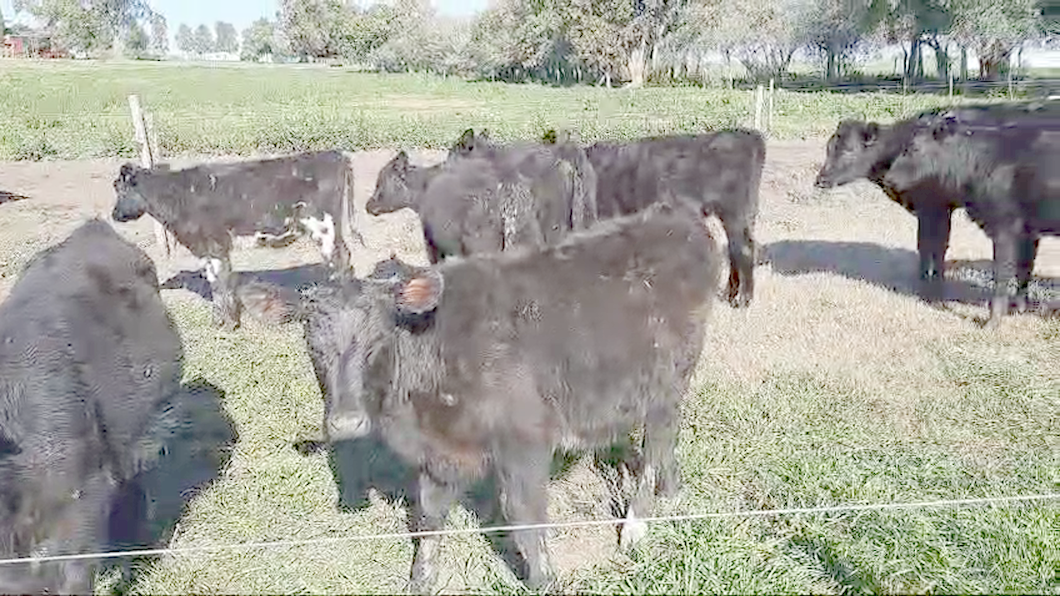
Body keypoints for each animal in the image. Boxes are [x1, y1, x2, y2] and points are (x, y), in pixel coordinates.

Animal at [112, 149, 360, 328]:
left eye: (120, 189)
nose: (114, 215)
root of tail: (334, 154)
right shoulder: (206, 250)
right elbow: (216, 283)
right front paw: (219, 322)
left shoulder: (215, 246)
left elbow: (220, 283)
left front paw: (229, 324)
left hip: (323, 226)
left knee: (340, 261)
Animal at [240, 201, 720, 589]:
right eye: (310, 341)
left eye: (378, 338)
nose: (346, 423)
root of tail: (675, 215)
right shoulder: (437, 455)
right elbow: (429, 518)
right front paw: (421, 581)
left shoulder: (525, 439)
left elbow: (525, 517)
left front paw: (545, 581)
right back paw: (671, 491)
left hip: (666, 381)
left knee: (657, 441)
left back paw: (636, 525)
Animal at [814, 100, 1055, 324]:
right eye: (828, 148)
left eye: (849, 150)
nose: (820, 180)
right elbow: (925, 246)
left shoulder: (936, 207)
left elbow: (936, 247)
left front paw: (933, 292)